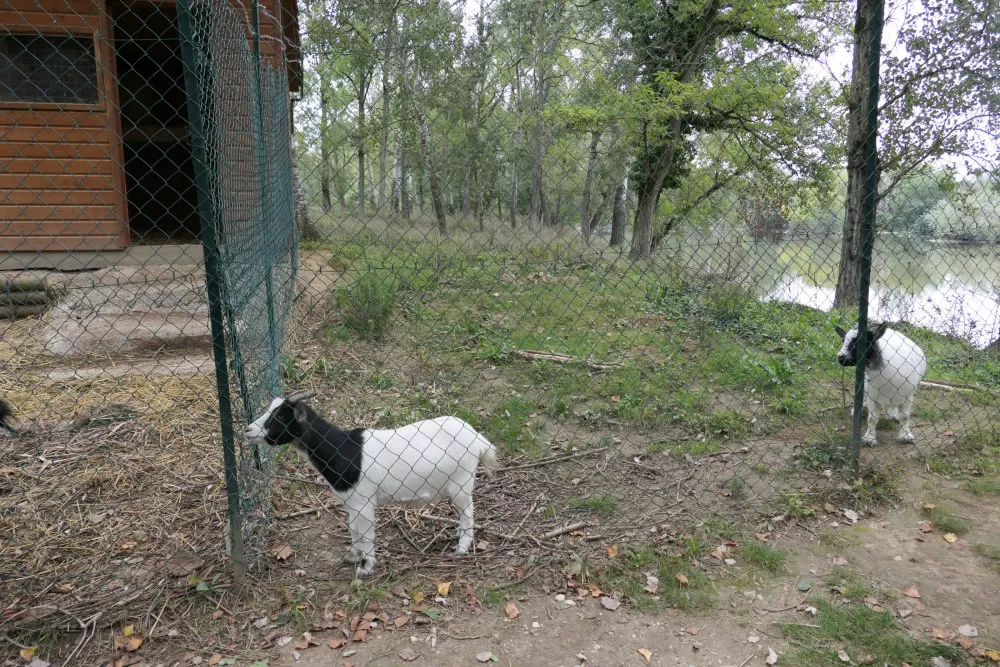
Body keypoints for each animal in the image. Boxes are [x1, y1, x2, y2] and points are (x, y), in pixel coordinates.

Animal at [244, 392, 498, 580]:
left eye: (279, 417)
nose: (248, 430)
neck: (344, 449)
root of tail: (477, 438)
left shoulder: (364, 502)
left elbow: (366, 533)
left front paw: (366, 566)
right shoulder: (351, 502)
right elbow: (354, 529)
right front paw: (353, 556)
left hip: (461, 482)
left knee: (468, 512)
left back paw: (462, 547)